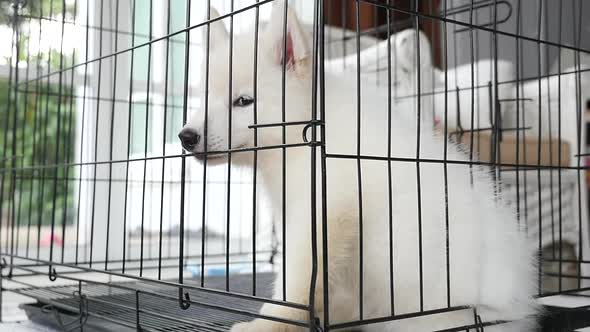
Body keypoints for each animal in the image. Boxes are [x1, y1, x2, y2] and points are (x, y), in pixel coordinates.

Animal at [179, 1, 540, 330]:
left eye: (244, 101)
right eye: (203, 97)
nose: (186, 136)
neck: (306, 135)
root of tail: (517, 304)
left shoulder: (325, 211)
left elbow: (295, 282)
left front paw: (267, 323)